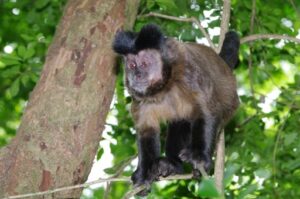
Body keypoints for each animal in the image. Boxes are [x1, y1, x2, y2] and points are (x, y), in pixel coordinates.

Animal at [112, 24, 239, 194]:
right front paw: (144, 174)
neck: (164, 86)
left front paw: (200, 157)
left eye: (144, 63)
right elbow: (146, 130)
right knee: (179, 122)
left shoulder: (188, 72)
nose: (136, 75)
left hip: (230, 105)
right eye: (132, 65)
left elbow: (207, 111)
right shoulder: (139, 98)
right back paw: (172, 165)